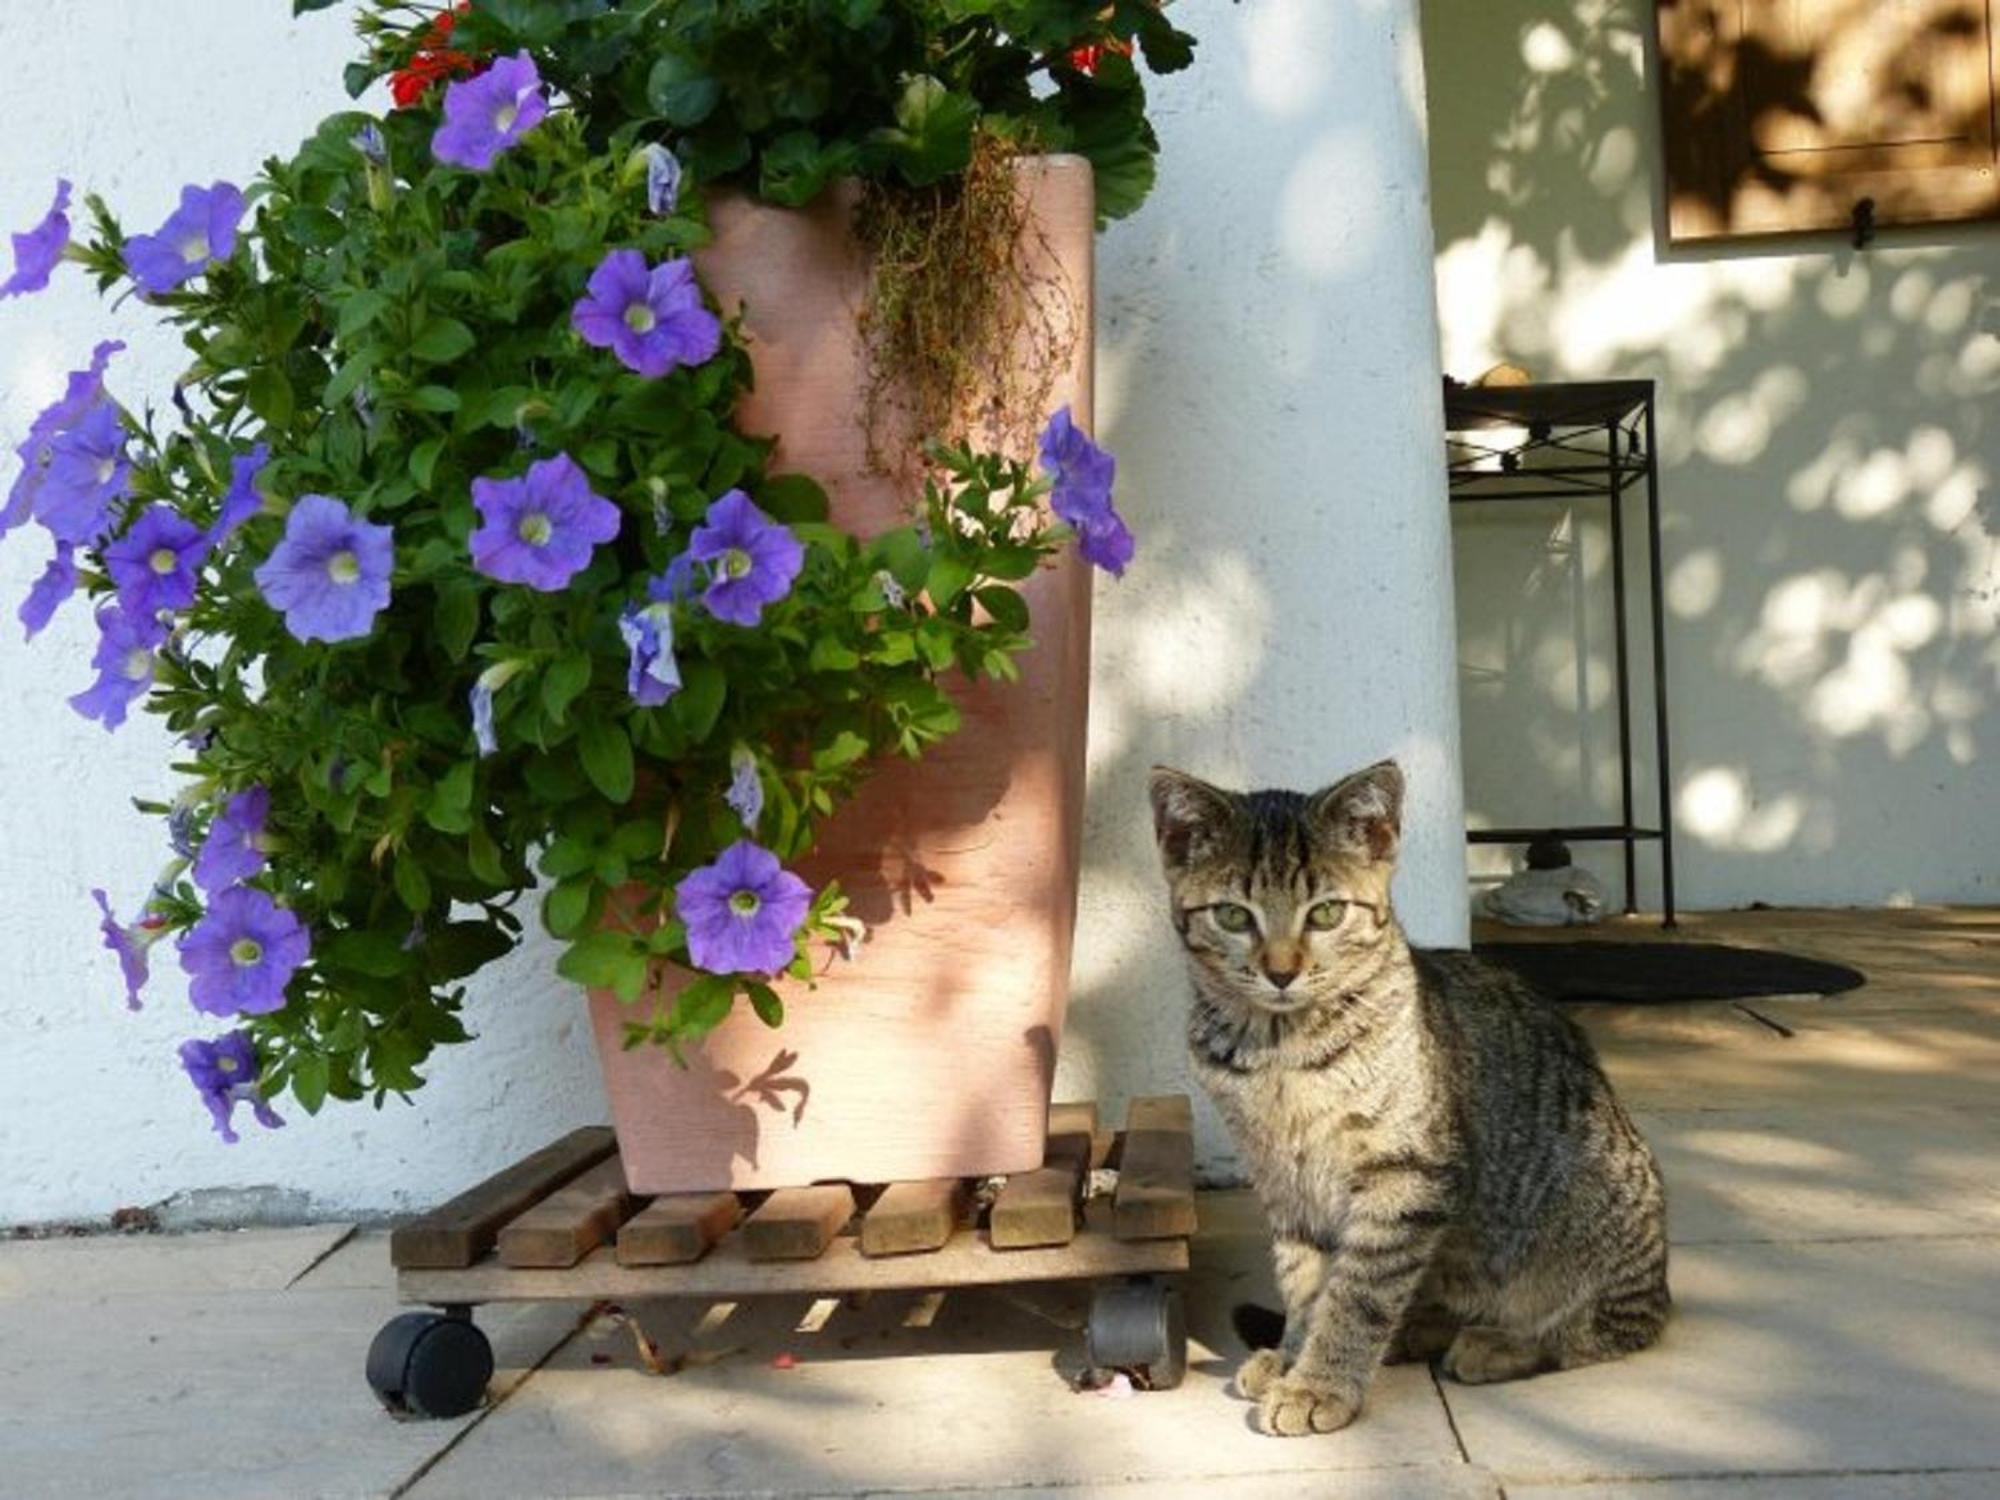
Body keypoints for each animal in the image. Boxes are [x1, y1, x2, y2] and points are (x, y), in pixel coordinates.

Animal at [1152, 768, 1664, 1440]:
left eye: (1327, 913)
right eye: (1234, 916)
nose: (1282, 971)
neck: (1281, 1048)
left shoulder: (1406, 1175)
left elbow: (1358, 1291)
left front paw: (1319, 1382)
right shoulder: (1282, 1179)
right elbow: (1304, 1278)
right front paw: (1293, 1354)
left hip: (1591, 1219)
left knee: (1605, 1328)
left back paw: (1500, 1342)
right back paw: (1416, 1332)